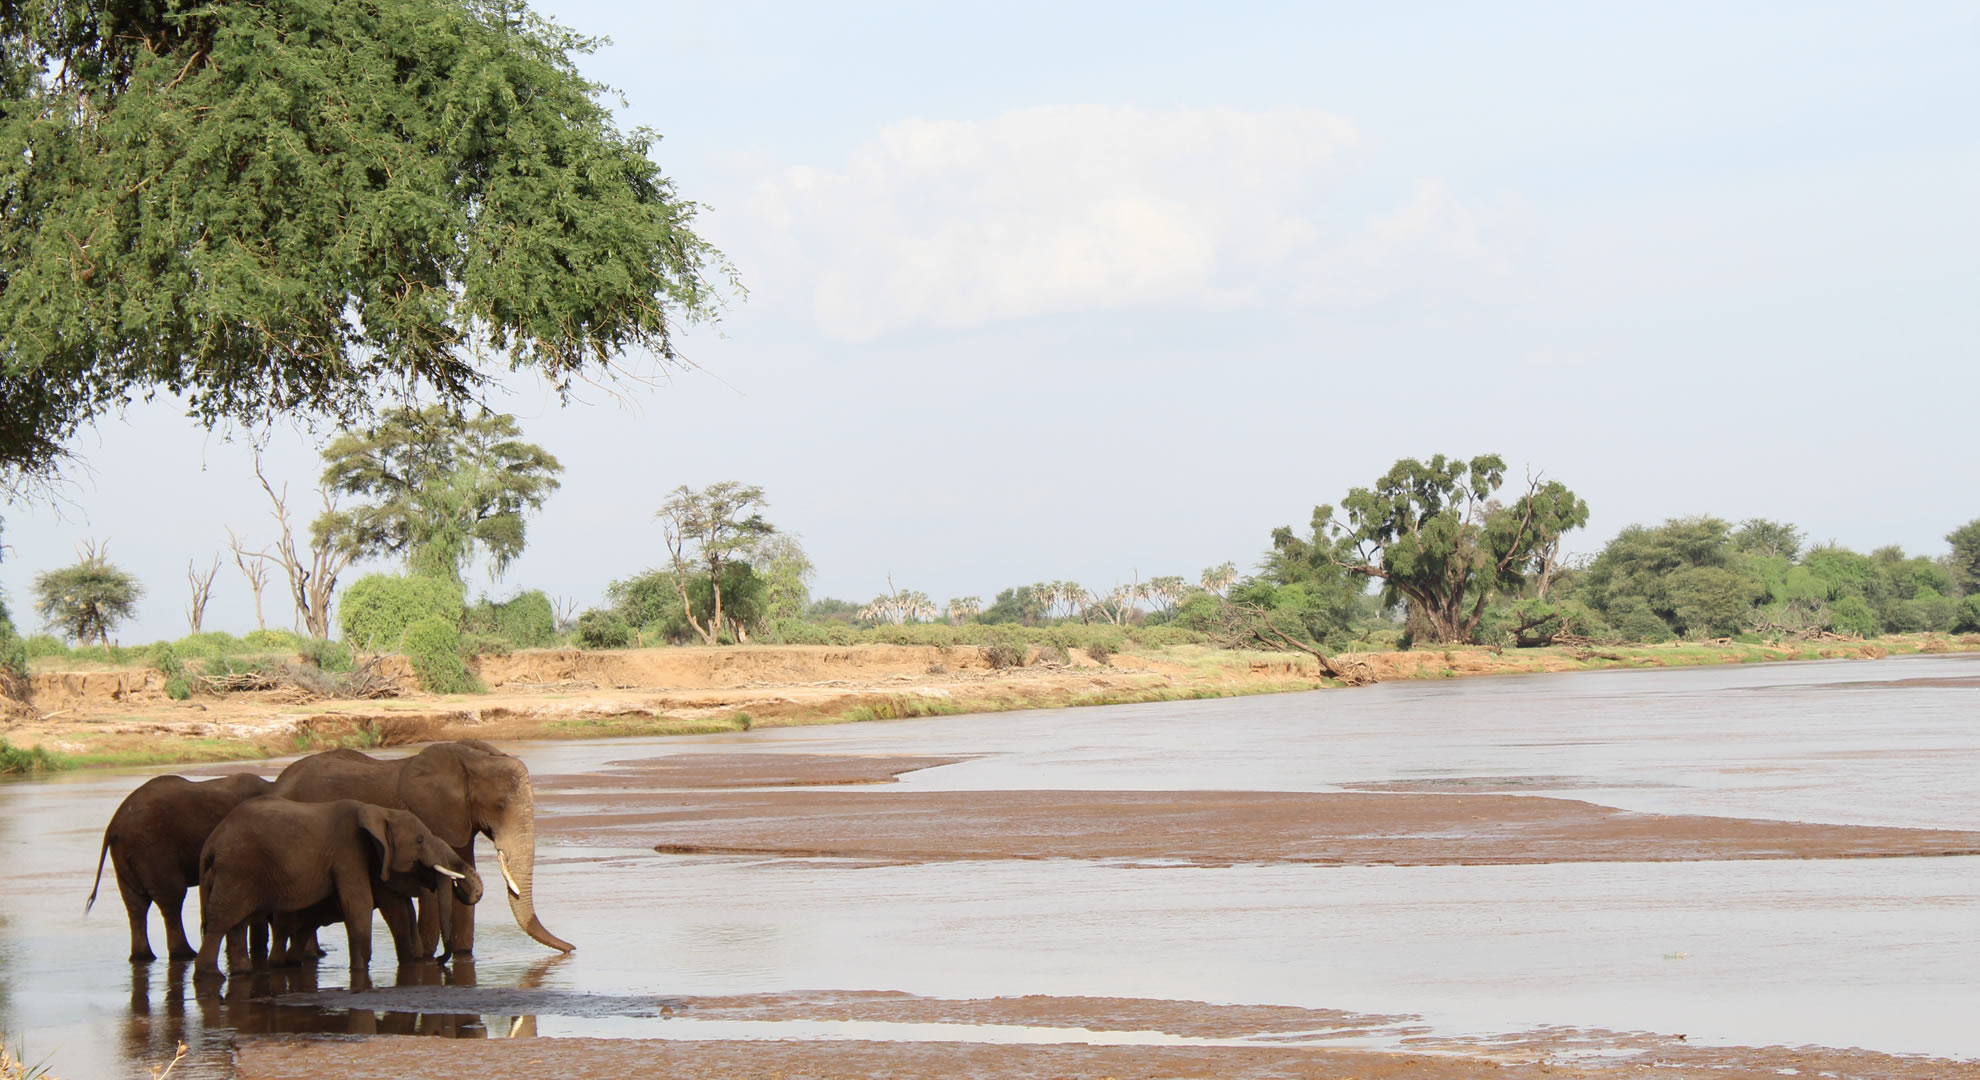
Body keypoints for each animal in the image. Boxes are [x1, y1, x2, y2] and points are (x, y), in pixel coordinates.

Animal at [87, 768, 275, 955]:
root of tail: (113, 827)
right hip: (152, 848)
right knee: (172, 899)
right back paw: (186, 953)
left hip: (127, 856)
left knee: (136, 905)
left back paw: (144, 956)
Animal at [196, 792, 483, 974]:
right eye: (421, 840)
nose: (439, 961)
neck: (379, 811)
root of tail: (211, 842)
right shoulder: (347, 852)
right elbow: (359, 904)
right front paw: (360, 969)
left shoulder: (372, 856)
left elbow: (397, 908)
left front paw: (412, 963)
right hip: (236, 870)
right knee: (221, 922)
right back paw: (211, 975)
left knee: (237, 923)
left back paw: (242, 972)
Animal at [269, 737, 574, 955]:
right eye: (499, 806)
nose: (572, 949)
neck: (472, 761)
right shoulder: (430, 815)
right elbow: (432, 891)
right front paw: (428, 958)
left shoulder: (459, 820)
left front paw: (462, 955)